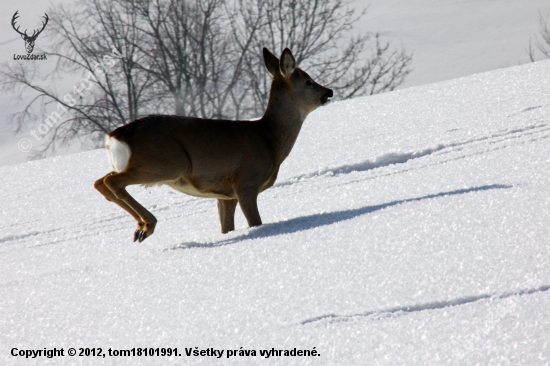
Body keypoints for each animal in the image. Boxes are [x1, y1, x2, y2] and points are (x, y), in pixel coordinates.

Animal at [95, 48, 334, 243]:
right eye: (308, 81)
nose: (329, 91)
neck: (269, 140)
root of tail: (115, 137)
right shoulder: (246, 182)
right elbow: (255, 223)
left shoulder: (225, 196)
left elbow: (226, 228)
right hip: (170, 161)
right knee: (112, 181)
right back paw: (147, 226)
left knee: (101, 182)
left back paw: (140, 228)